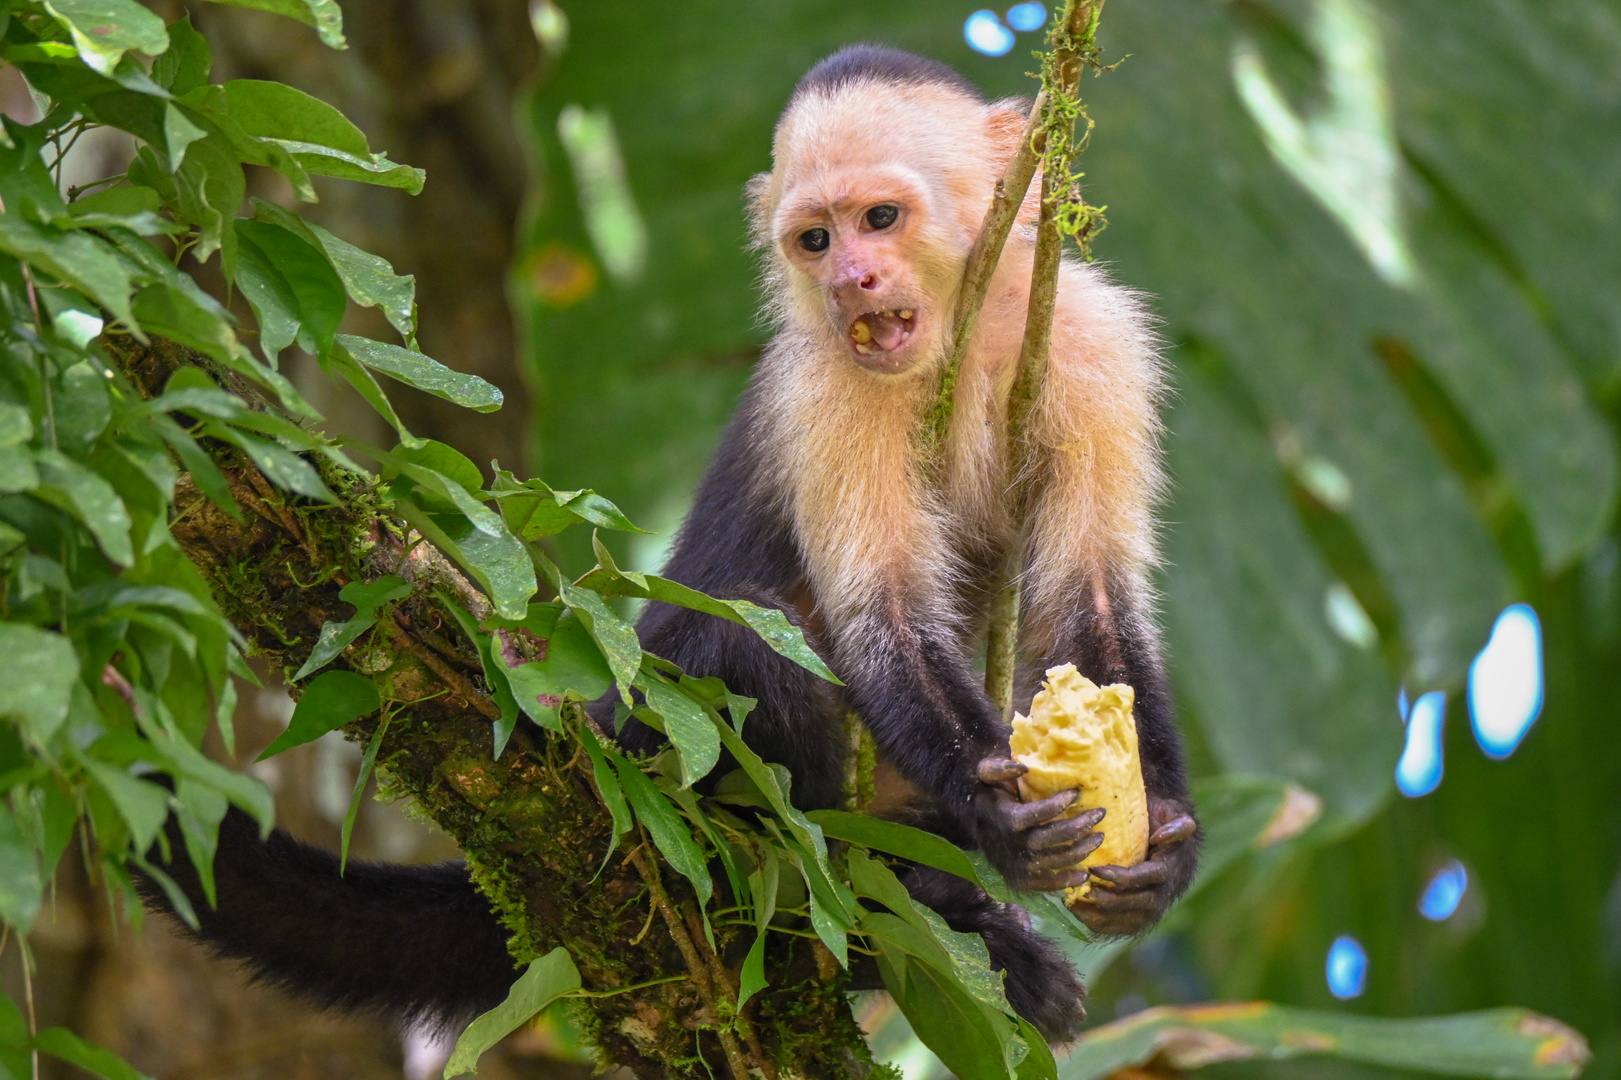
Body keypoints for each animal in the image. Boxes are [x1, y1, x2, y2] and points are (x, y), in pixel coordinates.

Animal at [145, 46, 1199, 1044]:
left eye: (880, 219)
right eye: (815, 240)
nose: (848, 280)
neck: (959, 337)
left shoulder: (1093, 341)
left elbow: (1090, 598)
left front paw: (1165, 842)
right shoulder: (824, 387)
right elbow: (883, 616)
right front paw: (1003, 819)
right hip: (656, 750)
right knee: (749, 641)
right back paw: (858, 920)